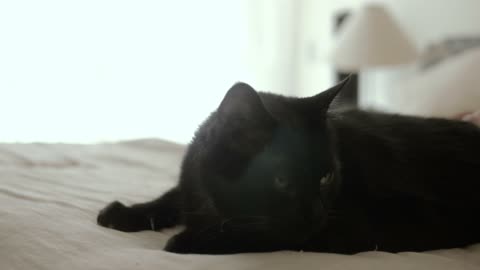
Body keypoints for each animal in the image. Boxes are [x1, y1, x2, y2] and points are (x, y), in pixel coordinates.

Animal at [96, 77, 480, 253]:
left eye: (326, 176)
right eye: (281, 180)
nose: (316, 213)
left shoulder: (360, 228)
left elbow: (262, 235)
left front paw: (188, 240)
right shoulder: (190, 185)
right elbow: (172, 196)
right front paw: (124, 213)